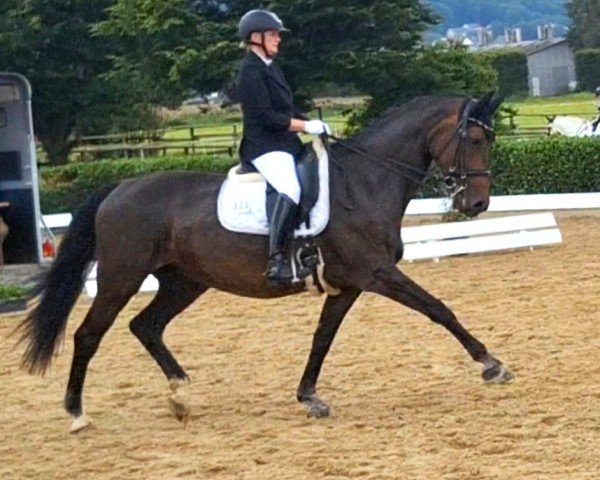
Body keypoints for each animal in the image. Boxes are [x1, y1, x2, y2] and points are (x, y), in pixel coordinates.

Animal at [15, 92, 510, 434]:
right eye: (475, 138)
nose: (477, 203)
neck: (366, 181)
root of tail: (118, 189)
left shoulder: (348, 283)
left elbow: (322, 338)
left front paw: (309, 397)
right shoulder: (376, 274)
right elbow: (438, 308)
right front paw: (491, 364)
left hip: (184, 282)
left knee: (146, 326)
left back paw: (181, 395)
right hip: (121, 277)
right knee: (88, 335)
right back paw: (77, 413)